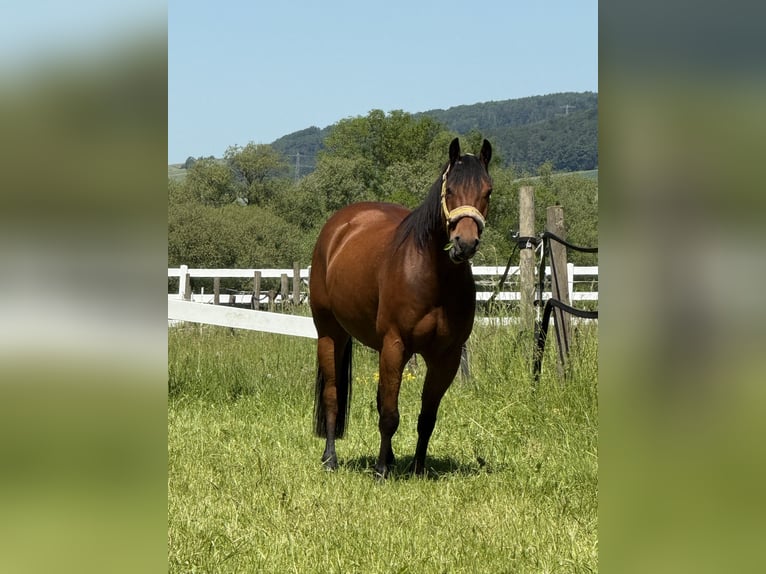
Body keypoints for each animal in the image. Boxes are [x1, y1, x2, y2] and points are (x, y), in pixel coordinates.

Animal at [310, 137, 492, 478]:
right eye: (450, 190)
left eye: (487, 191)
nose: (464, 244)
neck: (434, 277)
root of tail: (340, 225)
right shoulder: (396, 345)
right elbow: (390, 414)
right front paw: (381, 470)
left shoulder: (445, 357)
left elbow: (426, 417)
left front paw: (418, 468)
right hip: (330, 334)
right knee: (332, 396)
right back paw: (331, 459)